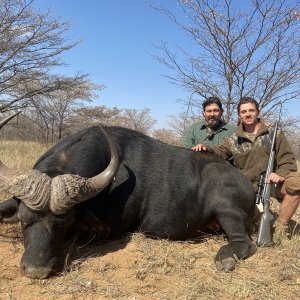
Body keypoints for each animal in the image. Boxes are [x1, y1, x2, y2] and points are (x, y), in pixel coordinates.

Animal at [0, 125, 255, 278]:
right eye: (23, 221)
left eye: (62, 224)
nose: (36, 270)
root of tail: (246, 184)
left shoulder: (110, 227)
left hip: (227, 210)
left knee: (244, 243)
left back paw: (226, 258)